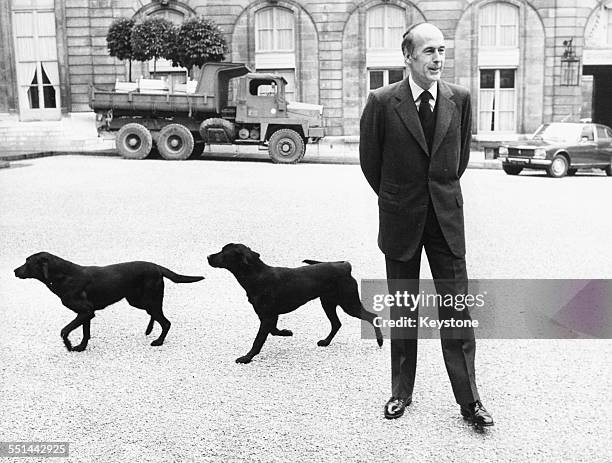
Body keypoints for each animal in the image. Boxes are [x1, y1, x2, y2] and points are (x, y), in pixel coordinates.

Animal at [13, 254, 204, 352]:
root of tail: (157, 267)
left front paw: (69, 346)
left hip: (147, 299)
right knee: (156, 316)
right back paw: (149, 331)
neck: (64, 276)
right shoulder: (86, 313)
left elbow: (64, 330)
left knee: (166, 322)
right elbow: (85, 332)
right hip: (138, 301)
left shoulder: (85, 311)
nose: (14, 270)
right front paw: (81, 347)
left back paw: (158, 341)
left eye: (27, 263)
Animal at [209, 245, 382, 364]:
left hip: (349, 304)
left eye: (223, 252)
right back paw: (325, 342)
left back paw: (380, 341)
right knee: (336, 324)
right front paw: (286, 332)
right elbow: (273, 331)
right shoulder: (269, 316)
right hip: (328, 303)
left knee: (373, 316)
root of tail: (345, 266)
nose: (208, 256)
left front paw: (247, 357)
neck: (256, 275)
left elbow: (258, 340)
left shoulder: (268, 316)